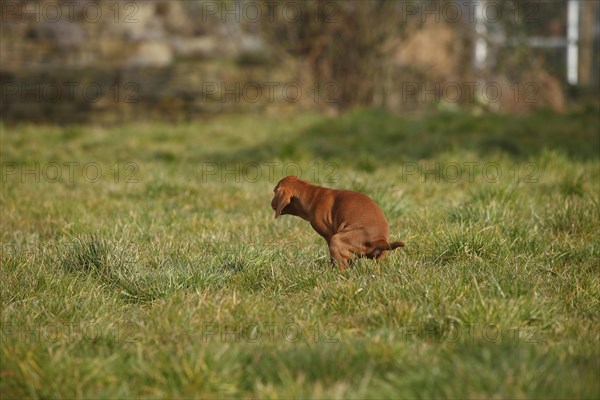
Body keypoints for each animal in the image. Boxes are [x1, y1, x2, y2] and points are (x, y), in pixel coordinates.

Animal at [270, 176, 404, 272]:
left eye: (274, 192)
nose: (270, 203)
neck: (311, 195)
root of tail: (380, 240)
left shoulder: (329, 236)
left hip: (337, 239)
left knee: (342, 265)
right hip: (379, 257)